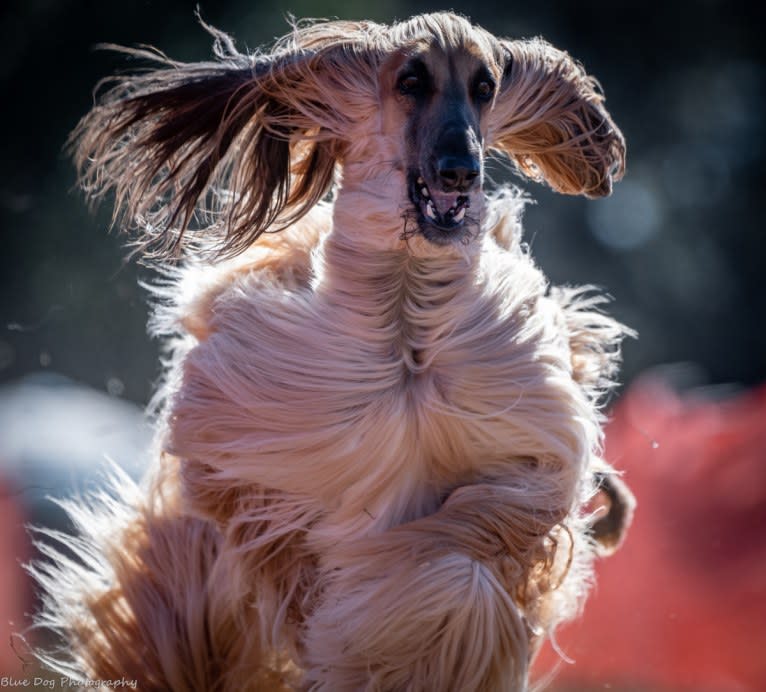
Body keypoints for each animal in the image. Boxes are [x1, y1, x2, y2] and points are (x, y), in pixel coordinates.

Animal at [33, 12, 636, 692]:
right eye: (410, 81)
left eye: (484, 87)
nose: (461, 170)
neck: (404, 319)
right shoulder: (254, 461)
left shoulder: (519, 453)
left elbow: (458, 562)